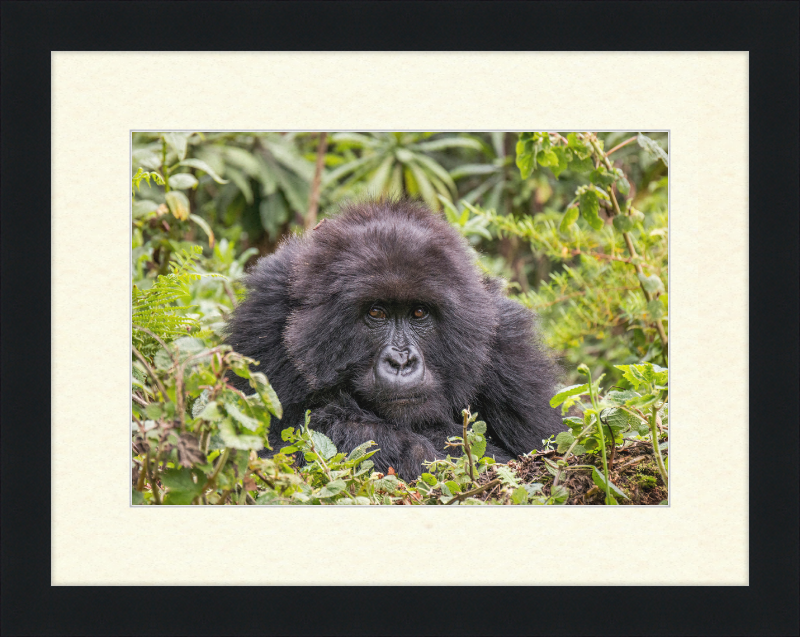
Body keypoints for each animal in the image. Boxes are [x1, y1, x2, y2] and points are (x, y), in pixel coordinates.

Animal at [225, 198, 564, 476]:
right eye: (376, 313)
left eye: (418, 313)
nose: (401, 361)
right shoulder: (263, 320)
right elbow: (264, 453)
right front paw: (375, 437)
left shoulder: (509, 347)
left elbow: (542, 454)